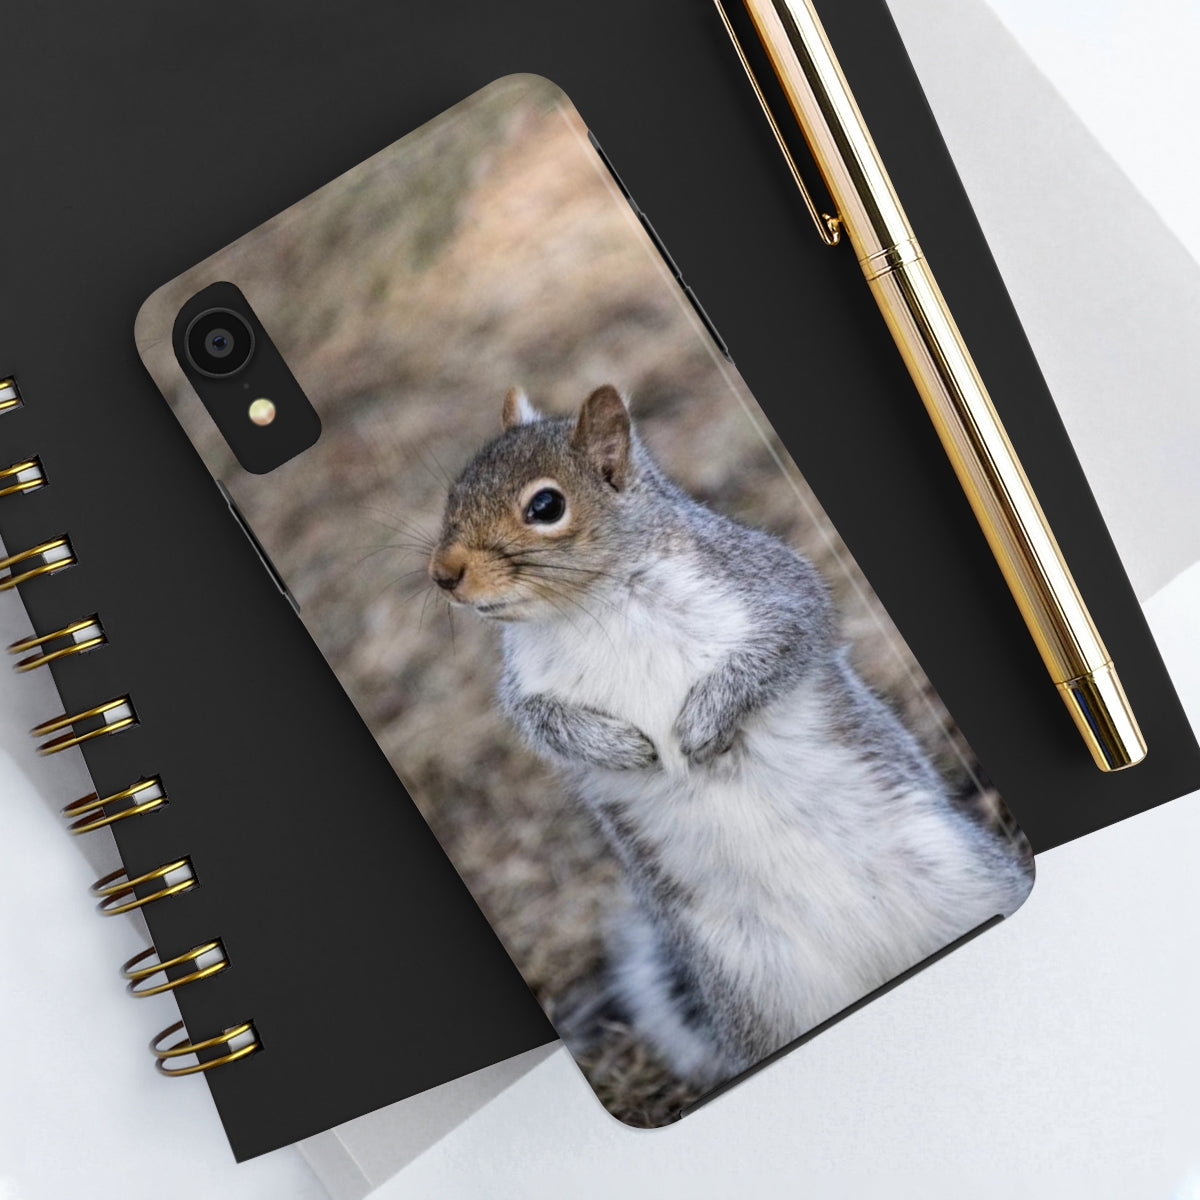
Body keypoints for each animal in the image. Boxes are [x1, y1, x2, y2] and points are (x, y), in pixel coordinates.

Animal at [430, 383, 1033, 1085]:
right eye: (454, 492)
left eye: (545, 506)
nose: (443, 574)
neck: (590, 606)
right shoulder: (525, 689)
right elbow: (546, 726)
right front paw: (621, 747)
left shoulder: (767, 587)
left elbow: (783, 640)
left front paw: (699, 726)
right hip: (756, 992)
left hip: (966, 877)